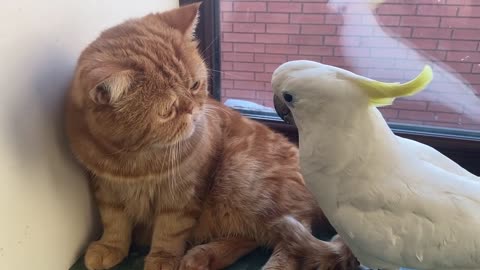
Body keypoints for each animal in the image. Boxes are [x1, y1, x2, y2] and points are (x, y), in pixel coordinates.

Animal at [63, 2, 356, 270]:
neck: (135, 159)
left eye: (194, 85)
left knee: (292, 235)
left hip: (240, 174)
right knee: (254, 236)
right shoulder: (106, 189)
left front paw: (163, 258)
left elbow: (170, 230)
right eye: (168, 110)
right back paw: (203, 256)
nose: (193, 110)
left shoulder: (181, 194)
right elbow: (114, 222)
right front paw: (111, 246)